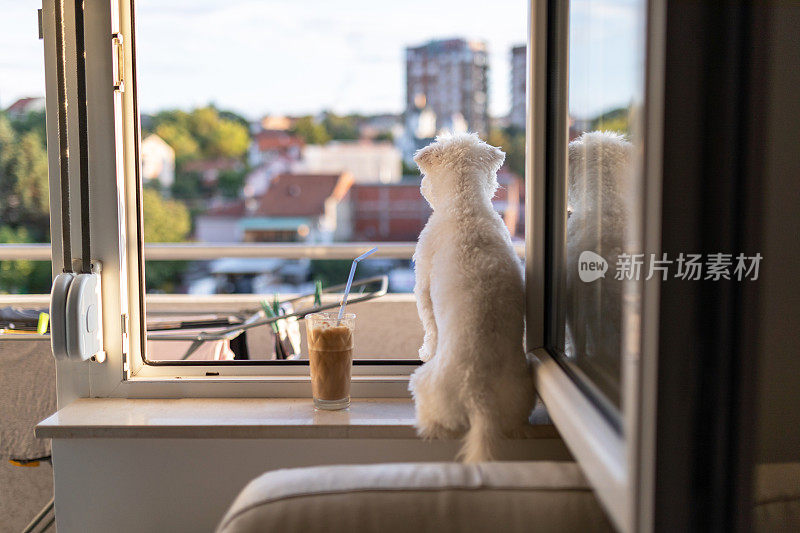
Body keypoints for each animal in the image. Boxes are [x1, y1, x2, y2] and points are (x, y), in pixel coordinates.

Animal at [410, 132, 536, 462]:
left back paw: (428, 427)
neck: (465, 205)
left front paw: (426, 349)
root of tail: (480, 399)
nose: (422, 187)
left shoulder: (423, 285)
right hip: (520, 395)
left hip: (424, 384)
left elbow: (429, 326)